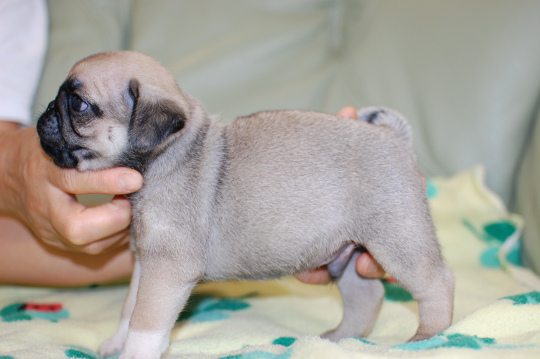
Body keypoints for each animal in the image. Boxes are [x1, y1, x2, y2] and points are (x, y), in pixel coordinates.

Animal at [35, 51, 454, 359]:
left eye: (79, 105)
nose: (45, 113)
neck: (168, 155)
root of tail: (393, 136)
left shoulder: (167, 269)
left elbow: (147, 321)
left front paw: (134, 353)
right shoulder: (146, 262)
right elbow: (129, 308)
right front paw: (116, 343)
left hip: (397, 237)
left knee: (436, 284)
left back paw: (429, 338)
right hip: (345, 253)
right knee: (367, 296)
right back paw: (338, 341)